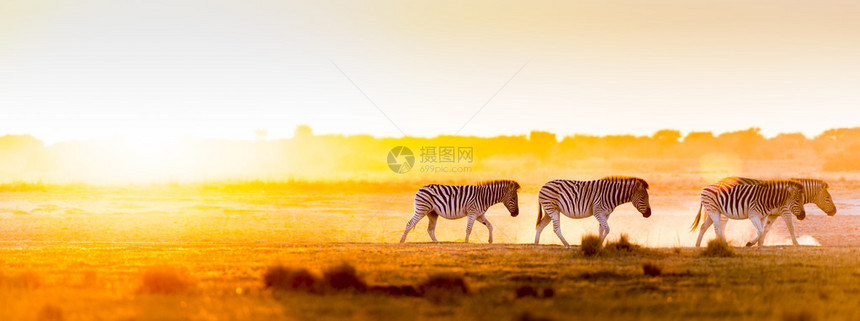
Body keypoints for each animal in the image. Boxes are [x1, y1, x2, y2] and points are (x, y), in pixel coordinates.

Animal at [696, 176, 836, 246]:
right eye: (827, 199)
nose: (834, 212)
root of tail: (720, 180)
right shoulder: (785, 211)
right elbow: (790, 227)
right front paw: (796, 244)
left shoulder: (773, 214)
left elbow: (765, 229)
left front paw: (760, 243)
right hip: (722, 211)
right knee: (720, 227)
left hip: (713, 211)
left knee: (704, 226)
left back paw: (701, 244)